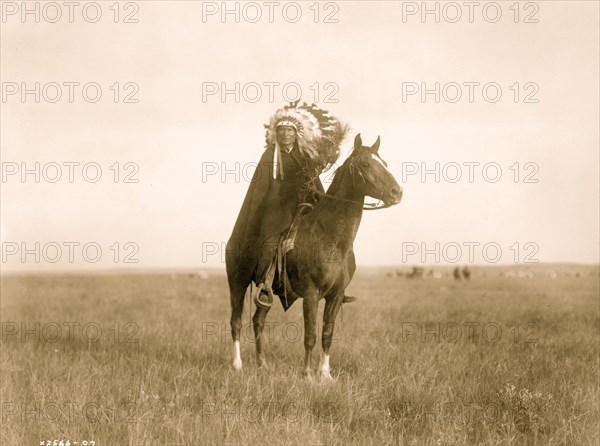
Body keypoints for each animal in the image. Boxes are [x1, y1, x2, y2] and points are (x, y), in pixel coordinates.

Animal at [227, 134, 400, 378]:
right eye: (366, 163)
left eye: (383, 163)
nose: (397, 192)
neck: (331, 239)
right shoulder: (311, 294)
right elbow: (310, 335)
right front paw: (307, 374)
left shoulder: (336, 295)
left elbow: (327, 333)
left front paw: (325, 374)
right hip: (238, 282)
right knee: (236, 321)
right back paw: (237, 365)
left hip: (264, 292)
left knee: (258, 321)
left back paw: (262, 365)